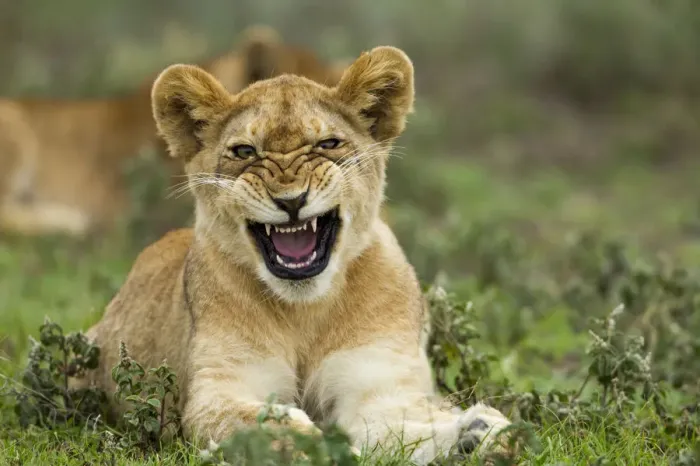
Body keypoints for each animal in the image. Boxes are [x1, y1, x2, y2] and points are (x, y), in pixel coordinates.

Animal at [73, 46, 514, 464]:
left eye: (328, 144)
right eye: (245, 151)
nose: (291, 200)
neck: (304, 312)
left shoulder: (377, 384)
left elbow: (404, 428)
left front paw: (479, 434)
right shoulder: (218, 389)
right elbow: (267, 424)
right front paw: (323, 450)